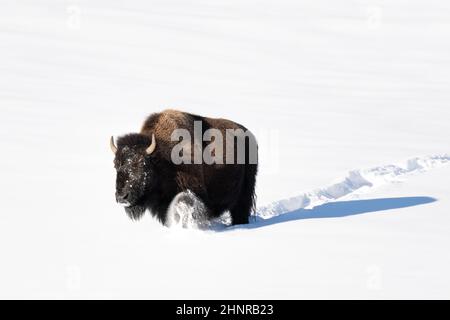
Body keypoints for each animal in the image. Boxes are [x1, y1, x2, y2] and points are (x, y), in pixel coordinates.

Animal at [110, 109, 258, 225]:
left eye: (141, 164)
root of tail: (250, 136)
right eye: (116, 165)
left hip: (245, 193)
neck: (163, 158)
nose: (122, 197)